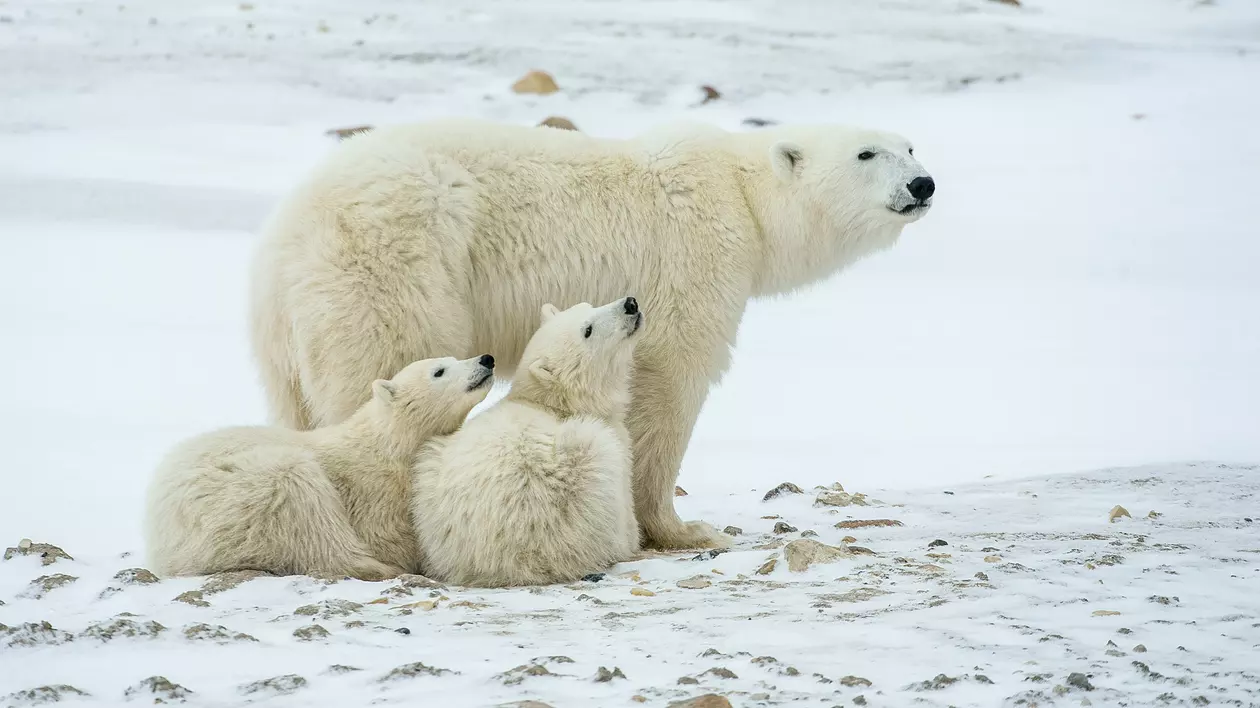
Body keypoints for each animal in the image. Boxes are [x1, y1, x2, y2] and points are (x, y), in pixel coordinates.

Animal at [140, 352, 488, 579]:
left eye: (457, 357)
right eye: (439, 371)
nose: (485, 359)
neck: (389, 445)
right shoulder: (371, 490)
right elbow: (387, 537)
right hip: (238, 493)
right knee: (308, 513)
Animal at [248, 115, 937, 549]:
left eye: (910, 146)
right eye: (866, 153)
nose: (923, 183)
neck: (743, 197)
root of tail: (290, 230)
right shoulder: (694, 256)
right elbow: (669, 377)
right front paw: (679, 529)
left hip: (283, 331)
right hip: (399, 263)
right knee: (392, 364)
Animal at [415, 296, 640, 584]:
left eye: (588, 306)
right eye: (588, 330)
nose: (630, 304)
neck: (550, 403)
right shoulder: (613, 439)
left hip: (430, 476)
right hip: (587, 476)